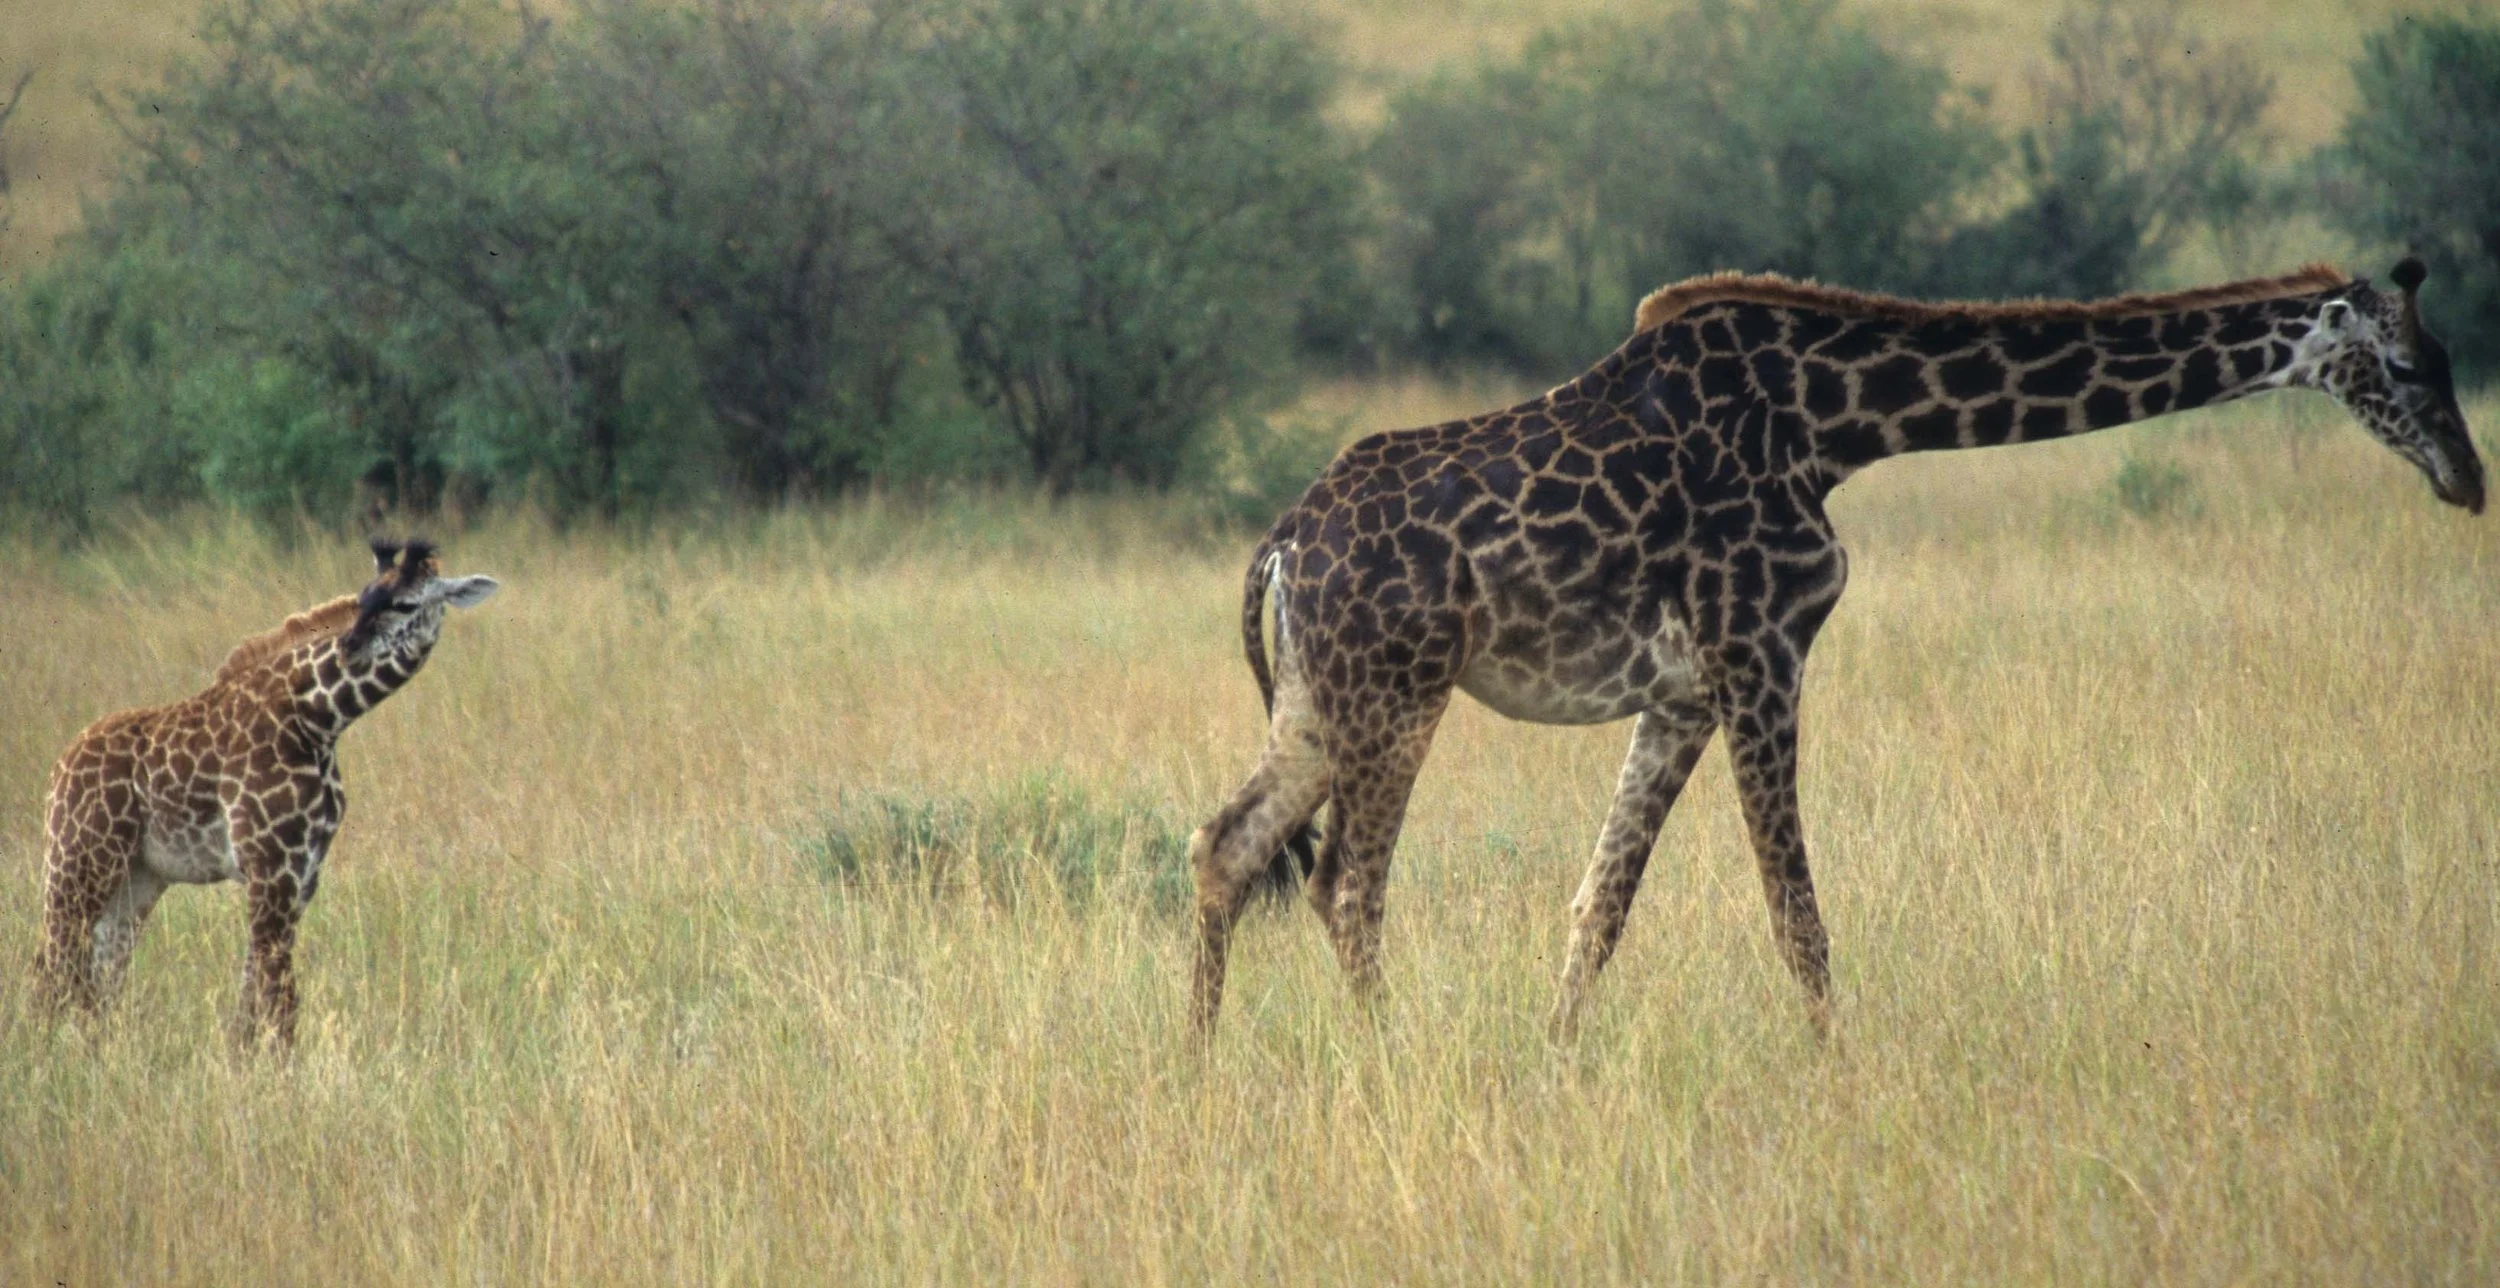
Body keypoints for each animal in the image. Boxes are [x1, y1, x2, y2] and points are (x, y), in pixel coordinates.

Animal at [33, 539, 501, 1048]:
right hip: (80, 861)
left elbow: (255, 992)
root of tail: (60, 768)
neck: (318, 720)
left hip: (135, 878)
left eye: (406, 604)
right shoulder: (268, 866)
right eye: (364, 597)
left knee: (95, 974)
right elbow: (279, 995)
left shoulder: (302, 871)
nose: (352, 647)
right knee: (51, 967)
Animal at [1188, 258, 2482, 1038]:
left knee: (1225, 844)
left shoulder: (1682, 691)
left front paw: (1556, 1060)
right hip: (1398, 693)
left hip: (1313, 707)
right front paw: (1838, 1079)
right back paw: (1385, 1054)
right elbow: (1796, 915)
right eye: (2406, 366)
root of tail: (1282, 545)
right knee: (1346, 882)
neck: (1838, 424)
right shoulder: (1761, 648)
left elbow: (1600, 902)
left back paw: (1200, 1066)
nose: (2468, 481)